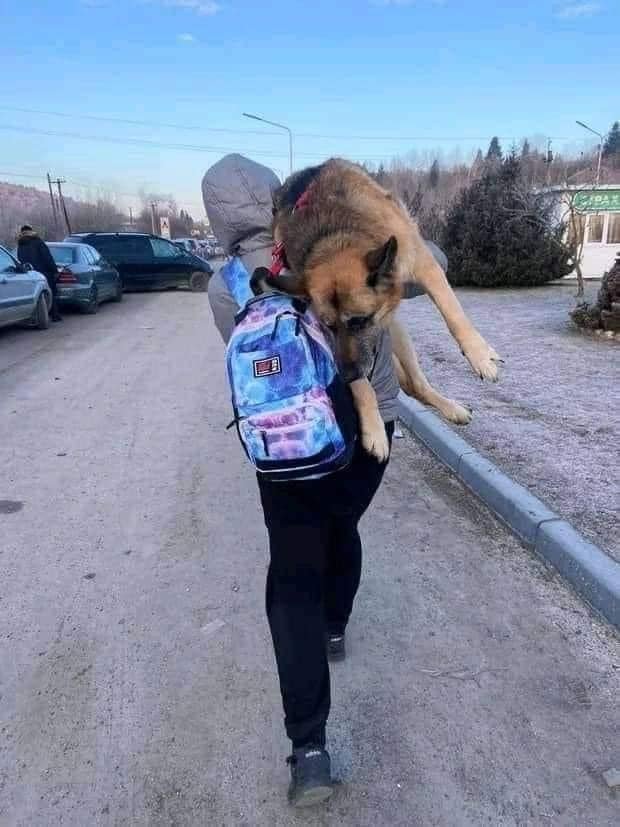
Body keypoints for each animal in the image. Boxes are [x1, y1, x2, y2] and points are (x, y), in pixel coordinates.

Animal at [254, 158, 502, 462]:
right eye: (328, 326)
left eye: (360, 321)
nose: (345, 375)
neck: (334, 236)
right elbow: (362, 387)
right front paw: (373, 428)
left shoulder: (425, 265)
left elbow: (453, 313)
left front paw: (479, 356)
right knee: (413, 387)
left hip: (400, 336)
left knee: (418, 385)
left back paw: (452, 407)